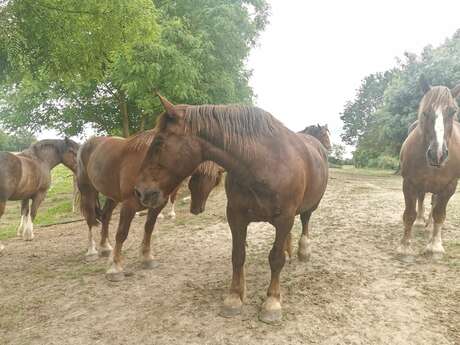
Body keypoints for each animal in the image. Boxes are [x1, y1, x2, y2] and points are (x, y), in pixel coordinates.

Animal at [77, 130, 223, 280]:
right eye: (197, 178)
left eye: (214, 182)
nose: (198, 209)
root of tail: (87, 144)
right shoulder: (129, 204)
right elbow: (122, 233)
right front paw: (115, 268)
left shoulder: (158, 204)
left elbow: (149, 228)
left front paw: (147, 258)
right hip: (87, 191)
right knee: (90, 220)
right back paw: (92, 251)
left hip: (113, 196)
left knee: (106, 216)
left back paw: (105, 247)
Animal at [133, 96, 330, 322]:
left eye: (159, 142)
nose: (139, 191)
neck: (264, 163)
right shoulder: (236, 216)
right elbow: (238, 255)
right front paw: (235, 297)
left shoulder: (284, 218)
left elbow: (275, 259)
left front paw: (272, 302)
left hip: (309, 206)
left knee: (305, 221)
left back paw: (303, 250)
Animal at [398, 76, 460, 258]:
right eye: (425, 112)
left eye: (452, 111)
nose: (437, 154)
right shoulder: (409, 183)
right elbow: (409, 214)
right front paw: (405, 247)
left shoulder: (449, 186)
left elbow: (440, 213)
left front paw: (435, 246)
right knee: (422, 200)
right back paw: (421, 222)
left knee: (435, 204)